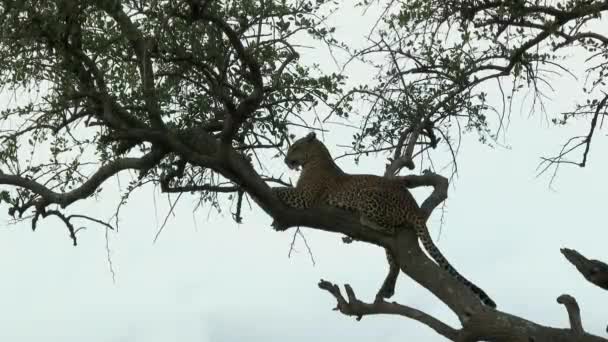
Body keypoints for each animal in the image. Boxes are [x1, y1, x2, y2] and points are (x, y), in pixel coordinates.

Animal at [274, 131, 496, 308]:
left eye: (294, 147)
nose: (285, 161)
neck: (314, 159)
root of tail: (413, 205)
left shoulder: (304, 196)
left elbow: (280, 190)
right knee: (393, 259)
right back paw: (387, 289)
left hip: (367, 195)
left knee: (389, 230)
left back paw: (365, 223)